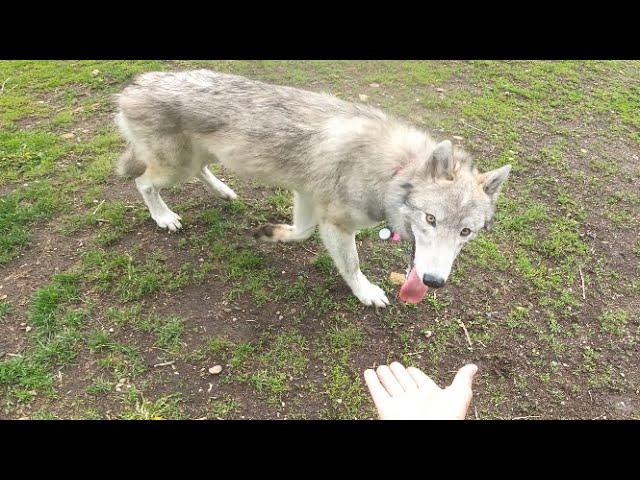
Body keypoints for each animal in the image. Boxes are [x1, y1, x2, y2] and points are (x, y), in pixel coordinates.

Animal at [114, 70, 510, 308]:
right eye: (430, 219)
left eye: (466, 232)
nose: (434, 281)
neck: (392, 171)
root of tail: (133, 86)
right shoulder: (336, 225)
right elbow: (351, 265)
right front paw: (366, 293)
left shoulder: (305, 196)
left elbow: (301, 232)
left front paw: (271, 233)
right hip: (175, 168)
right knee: (142, 182)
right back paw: (164, 217)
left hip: (197, 159)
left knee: (200, 172)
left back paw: (224, 191)